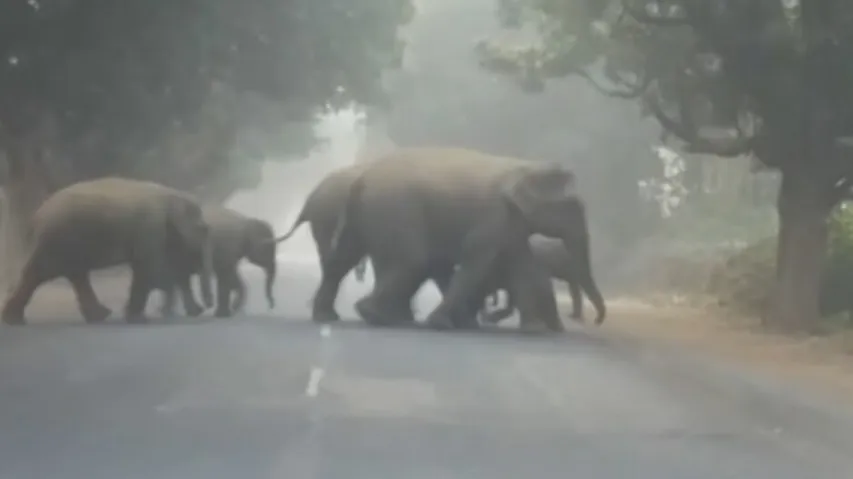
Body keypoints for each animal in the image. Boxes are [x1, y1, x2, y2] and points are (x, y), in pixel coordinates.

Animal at [1, 177, 214, 325]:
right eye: (204, 229)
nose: (207, 307)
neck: (173, 195)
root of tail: (36, 216)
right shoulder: (150, 228)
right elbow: (150, 270)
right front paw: (138, 319)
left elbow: (166, 269)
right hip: (58, 239)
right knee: (41, 274)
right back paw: (14, 320)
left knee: (72, 275)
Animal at [329, 146, 606, 331]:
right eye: (574, 207)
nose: (597, 320)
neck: (526, 166)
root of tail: (361, 179)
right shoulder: (493, 217)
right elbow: (475, 264)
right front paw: (439, 323)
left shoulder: (511, 223)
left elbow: (522, 265)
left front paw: (534, 330)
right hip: (396, 210)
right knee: (412, 261)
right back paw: (373, 315)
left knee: (345, 257)